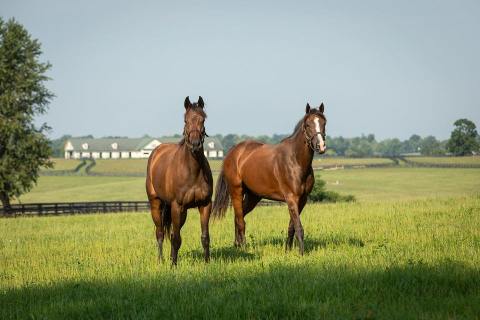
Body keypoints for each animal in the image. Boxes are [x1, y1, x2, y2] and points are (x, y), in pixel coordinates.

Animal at [145, 95, 213, 264]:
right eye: (185, 120)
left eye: (203, 119)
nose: (195, 144)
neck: (193, 171)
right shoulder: (177, 206)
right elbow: (176, 239)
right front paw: (173, 265)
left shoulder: (205, 205)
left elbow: (205, 237)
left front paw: (207, 263)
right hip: (157, 205)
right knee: (160, 233)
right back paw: (161, 260)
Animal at [213, 102, 326, 255]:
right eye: (308, 124)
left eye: (324, 122)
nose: (321, 146)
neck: (295, 160)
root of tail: (233, 152)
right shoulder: (291, 198)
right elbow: (299, 227)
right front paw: (301, 253)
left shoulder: (302, 199)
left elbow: (292, 226)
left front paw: (287, 250)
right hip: (236, 191)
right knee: (240, 220)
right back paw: (243, 247)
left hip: (253, 196)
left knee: (239, 217)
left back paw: (237, 245)